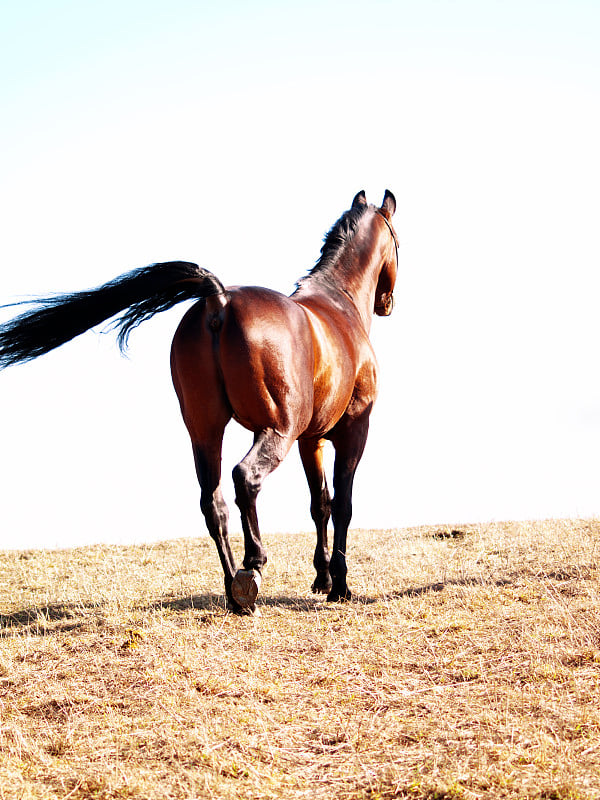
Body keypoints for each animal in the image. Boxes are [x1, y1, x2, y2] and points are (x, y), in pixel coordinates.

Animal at [2, 191, 400, 616]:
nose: (387, 303)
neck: (337, 304)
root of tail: (219, 299)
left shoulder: (312, 438)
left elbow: (319, 504)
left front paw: (322, 578)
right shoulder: (351, 431)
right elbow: (342, 504)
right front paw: (339, 585)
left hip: (206, 433)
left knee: (214, 503)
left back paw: (234, 592)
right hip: (277, 430)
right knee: (245, 479)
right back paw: (252, 568)